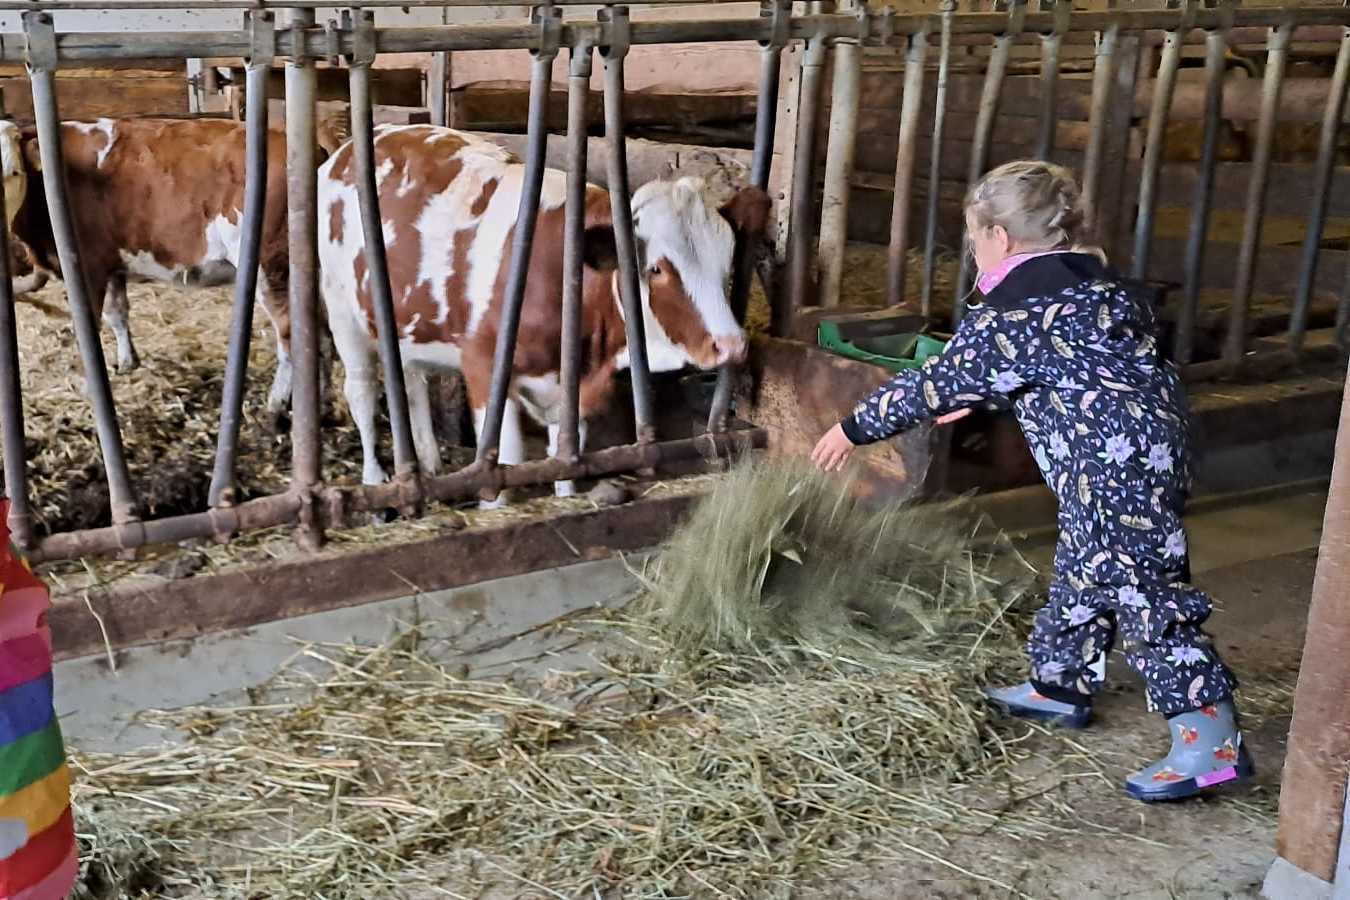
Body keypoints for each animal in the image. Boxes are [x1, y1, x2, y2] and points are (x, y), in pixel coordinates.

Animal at [0, 115, 297, 418]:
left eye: (14, 173)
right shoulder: (112, 265)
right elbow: (117, 314)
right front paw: (127, 361)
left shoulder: (87, 267)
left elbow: (88, 328)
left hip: (270, 267)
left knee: (288, 332)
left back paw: (277, 401)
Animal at [310, 124, 766, 499]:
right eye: (656, 268)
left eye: (727, 260)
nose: (731, 345)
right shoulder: (483, 368)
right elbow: (505, 462)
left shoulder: (572, 389)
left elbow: (564, 456)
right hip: (342, 311)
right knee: (362, 393)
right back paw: (376, 484)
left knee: (412, 385)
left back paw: (429, 466)